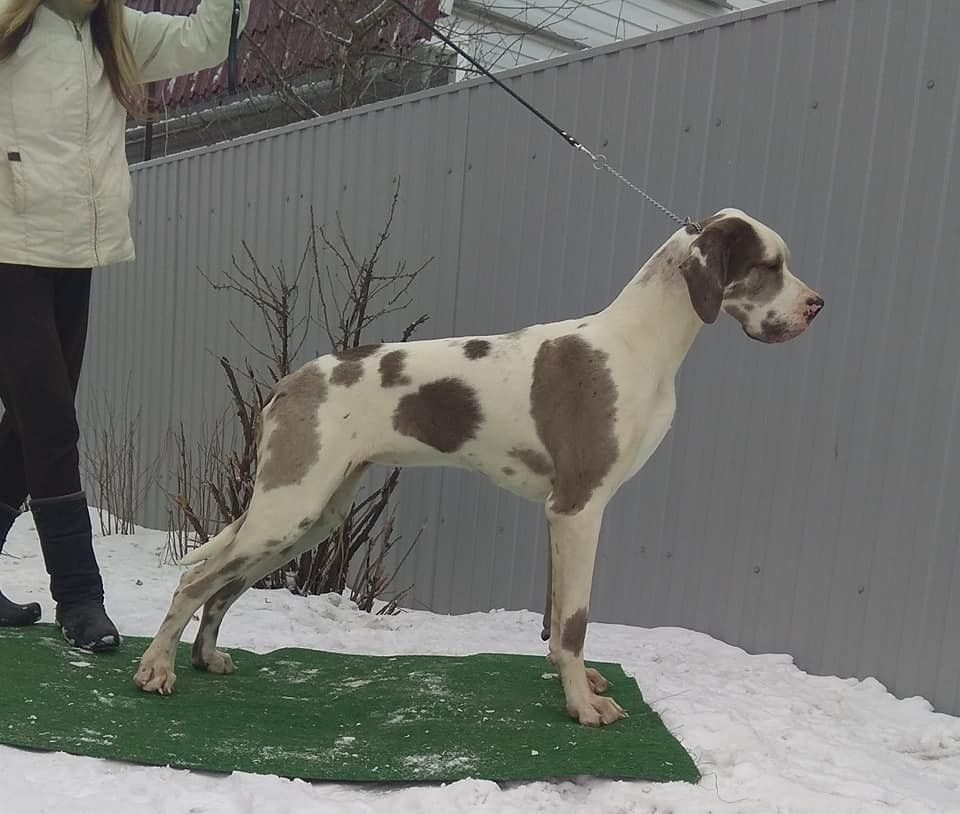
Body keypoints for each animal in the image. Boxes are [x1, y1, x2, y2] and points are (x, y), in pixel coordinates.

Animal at [134, 208, 823, 727]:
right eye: (769, 266)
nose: (818, 306)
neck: (637, 344)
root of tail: (289, 382)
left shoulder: (560, 516)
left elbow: (555, 618)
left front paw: (578, 682)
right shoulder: (580, 509)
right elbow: (574, 622)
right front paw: (582, 705)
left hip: (312, 516)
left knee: (225, 586)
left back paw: (206, 657)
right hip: (288, 508)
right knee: (195, 580)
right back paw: (156, 668)